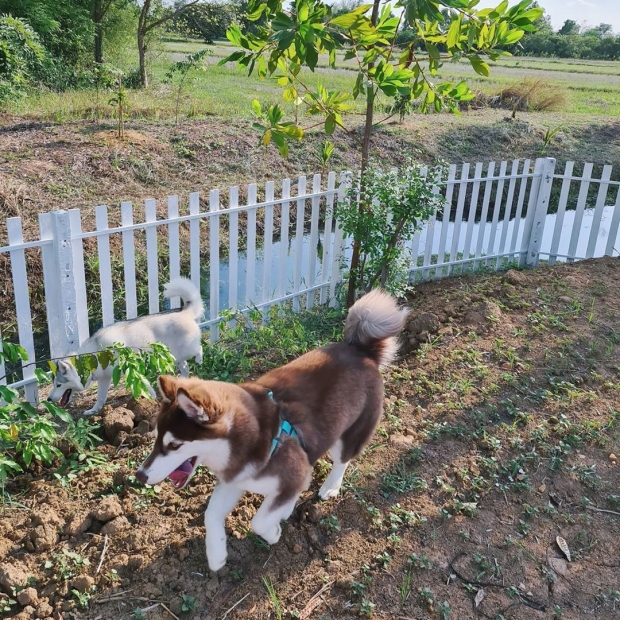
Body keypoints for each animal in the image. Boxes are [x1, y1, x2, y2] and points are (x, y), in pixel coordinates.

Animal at [49, 278, 203, 414]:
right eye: (54, 384)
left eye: (58, 385)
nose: (49, 399)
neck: (95, 354)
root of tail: (185, 312)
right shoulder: (105, 378)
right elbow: (100, 398)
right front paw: (94, 410)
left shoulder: (133, 367)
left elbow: (146, 386)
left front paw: (152, 400)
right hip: (174, 356)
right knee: (185, 366)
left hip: (185, 350)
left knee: (199, 349)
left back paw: (199, 359)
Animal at [136, 290, 406, 572]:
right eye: (156, 439)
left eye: (174, 445)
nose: (140, 476)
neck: (249, 439)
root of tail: (360, 349)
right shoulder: (237, 478)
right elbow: (211, 514)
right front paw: (216, 553)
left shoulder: (291, 472)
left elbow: (259, 521)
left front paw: (273, 532)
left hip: (351, 430)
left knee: (342, 459)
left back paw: (330, 486)